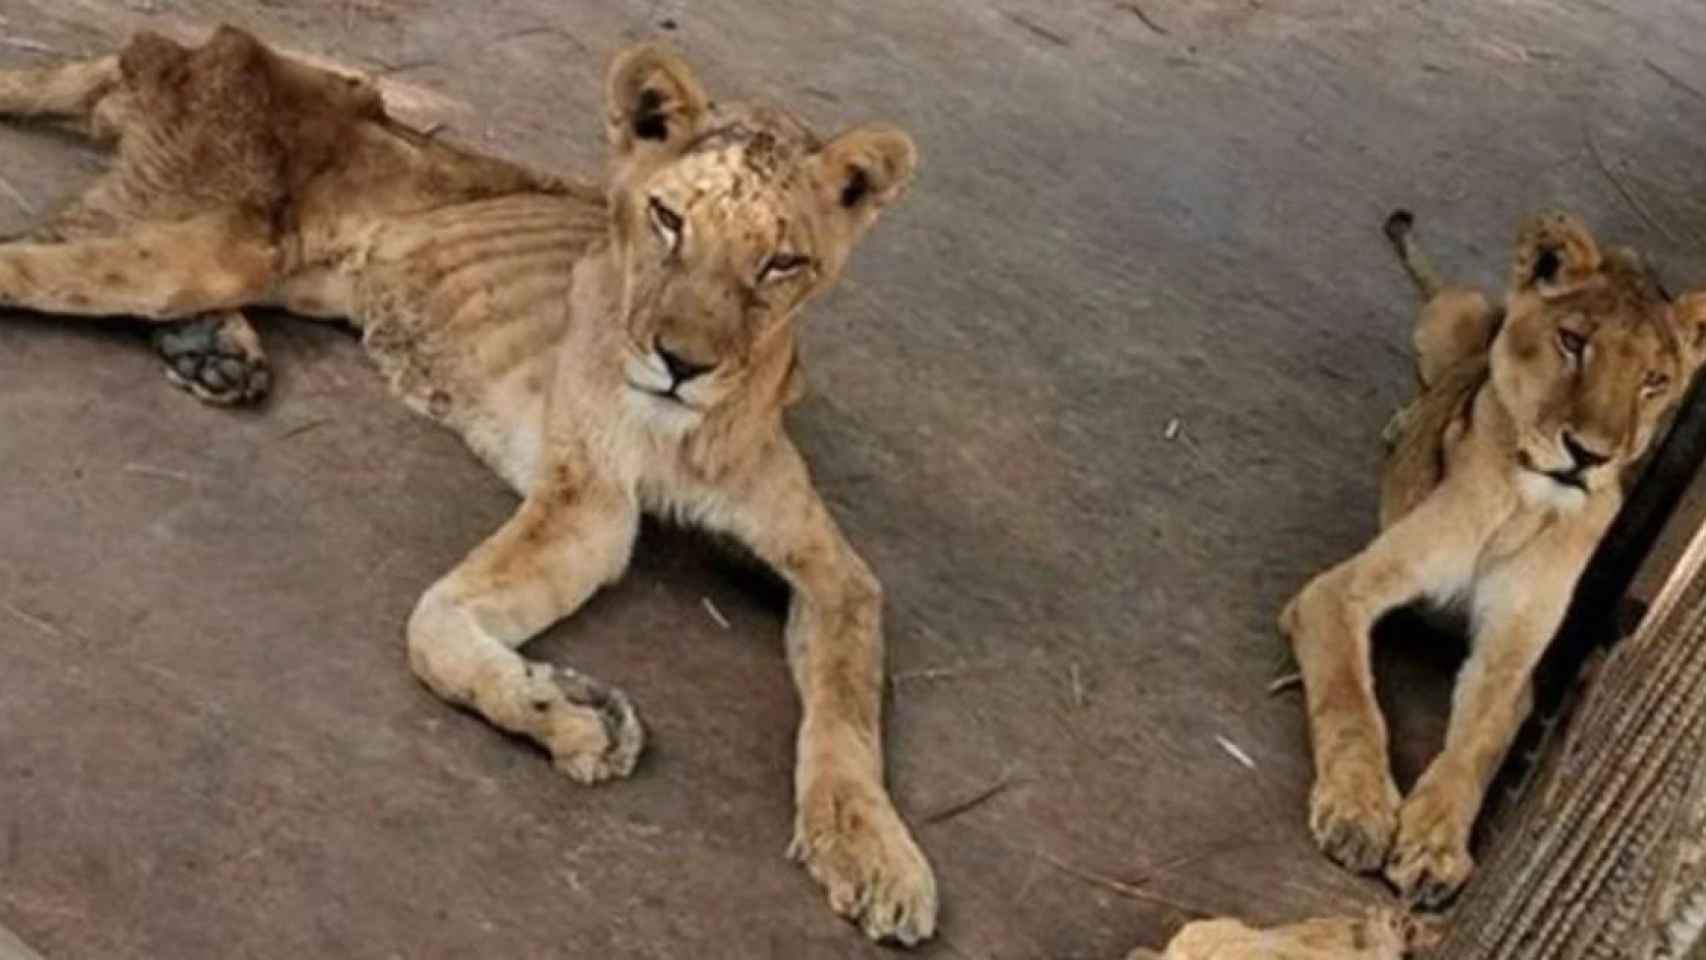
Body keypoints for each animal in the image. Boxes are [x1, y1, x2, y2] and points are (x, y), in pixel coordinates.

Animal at [0, 24, 934, 948]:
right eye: (669, 220)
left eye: (782, 263)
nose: (681, 364)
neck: (686, 427)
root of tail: (190, 47)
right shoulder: (590, 503)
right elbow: (436, 625)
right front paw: (572, 715)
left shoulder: (832, 570)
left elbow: (846, 708)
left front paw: (875, 854)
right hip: (204, 243)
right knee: (26, 260)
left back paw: (212, 353)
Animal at [1282, 210, 1699, 907]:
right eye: (1572, 341)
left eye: (1654, 382)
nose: (1589, 456)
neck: (1524, 504)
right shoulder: (1336, 593)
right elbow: (1350, 699)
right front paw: (1359, 811)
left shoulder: (1512, 656)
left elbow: (1474, 749)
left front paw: (1433, 846)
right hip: (1459, 314)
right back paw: (1403, 421)